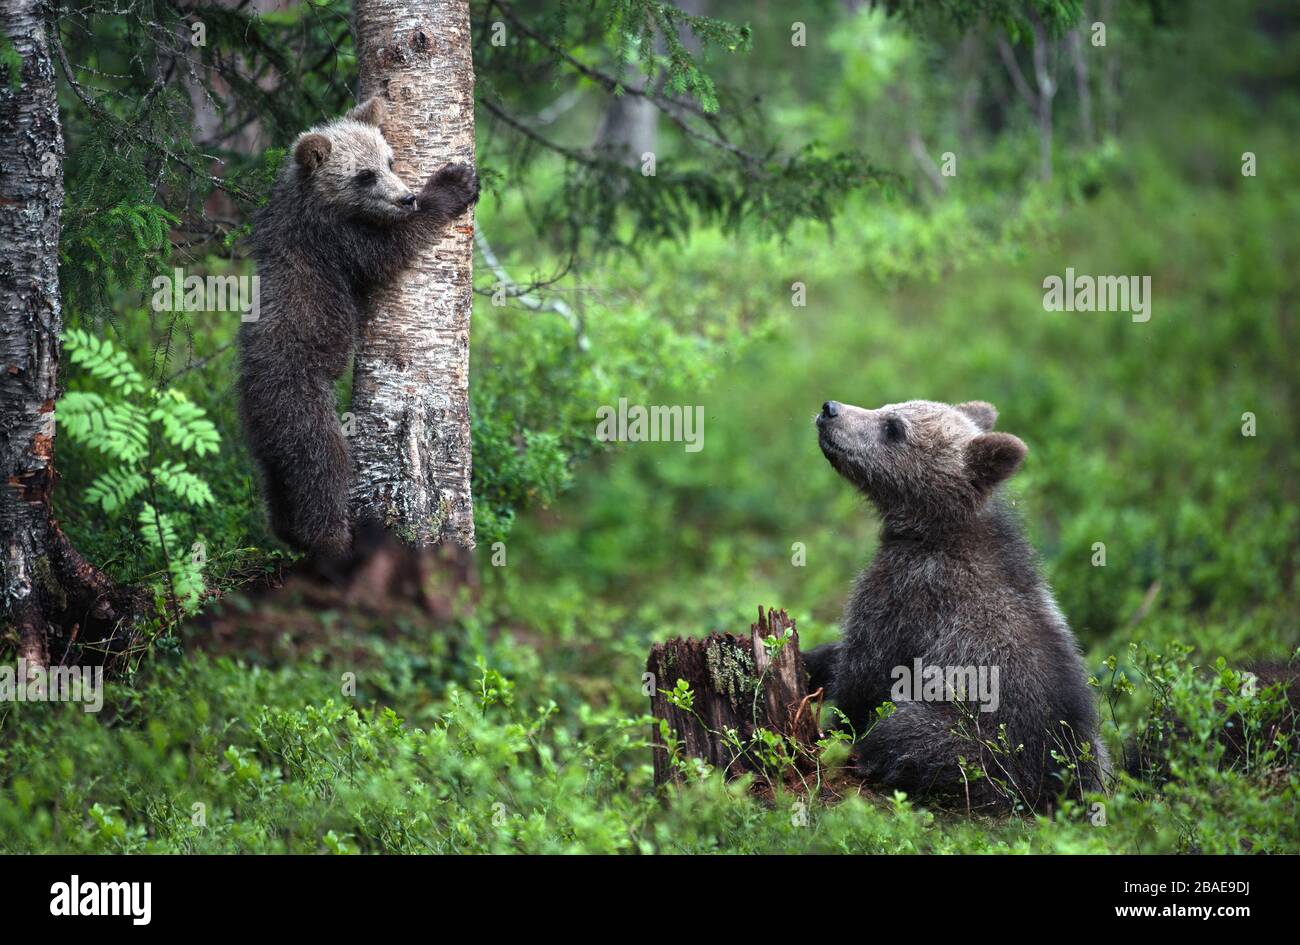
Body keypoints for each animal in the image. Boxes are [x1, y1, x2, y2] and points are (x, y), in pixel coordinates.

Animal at [238, 97, 479, 562]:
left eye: (389, 160)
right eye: (364, 174)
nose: (406, 198)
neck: (317, 205)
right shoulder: (337, 243)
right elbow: (391, 249)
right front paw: (454, 183)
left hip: (267, 445)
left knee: (281, 485)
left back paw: (291, 533)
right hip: (301, 400)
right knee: (323, 466)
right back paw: (337, 541)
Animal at [805, 398, 1110, 811]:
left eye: (894, 428)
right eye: (887, 406)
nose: (830, 409)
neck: (932, 530)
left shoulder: (905, 594)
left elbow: (863, 673)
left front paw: (832, 725)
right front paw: (809, 659)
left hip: (983, 744)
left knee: (902, 734)